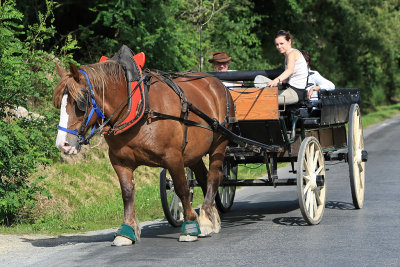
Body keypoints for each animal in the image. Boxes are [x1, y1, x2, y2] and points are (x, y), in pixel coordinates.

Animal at [52, 59, 234, 247]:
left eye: (80, 102)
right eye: (58, 103)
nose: (63, 144)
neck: (140, 109)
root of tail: (217, 83)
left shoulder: (173, 157)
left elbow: (182, 188)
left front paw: (190, 226)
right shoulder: (120, 161)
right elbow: (127, 193)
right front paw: (126, 230)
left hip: (219, 144)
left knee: (213, 177)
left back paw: (204, 218)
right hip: (193, 153)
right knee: (203, 177)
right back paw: (209, 217)